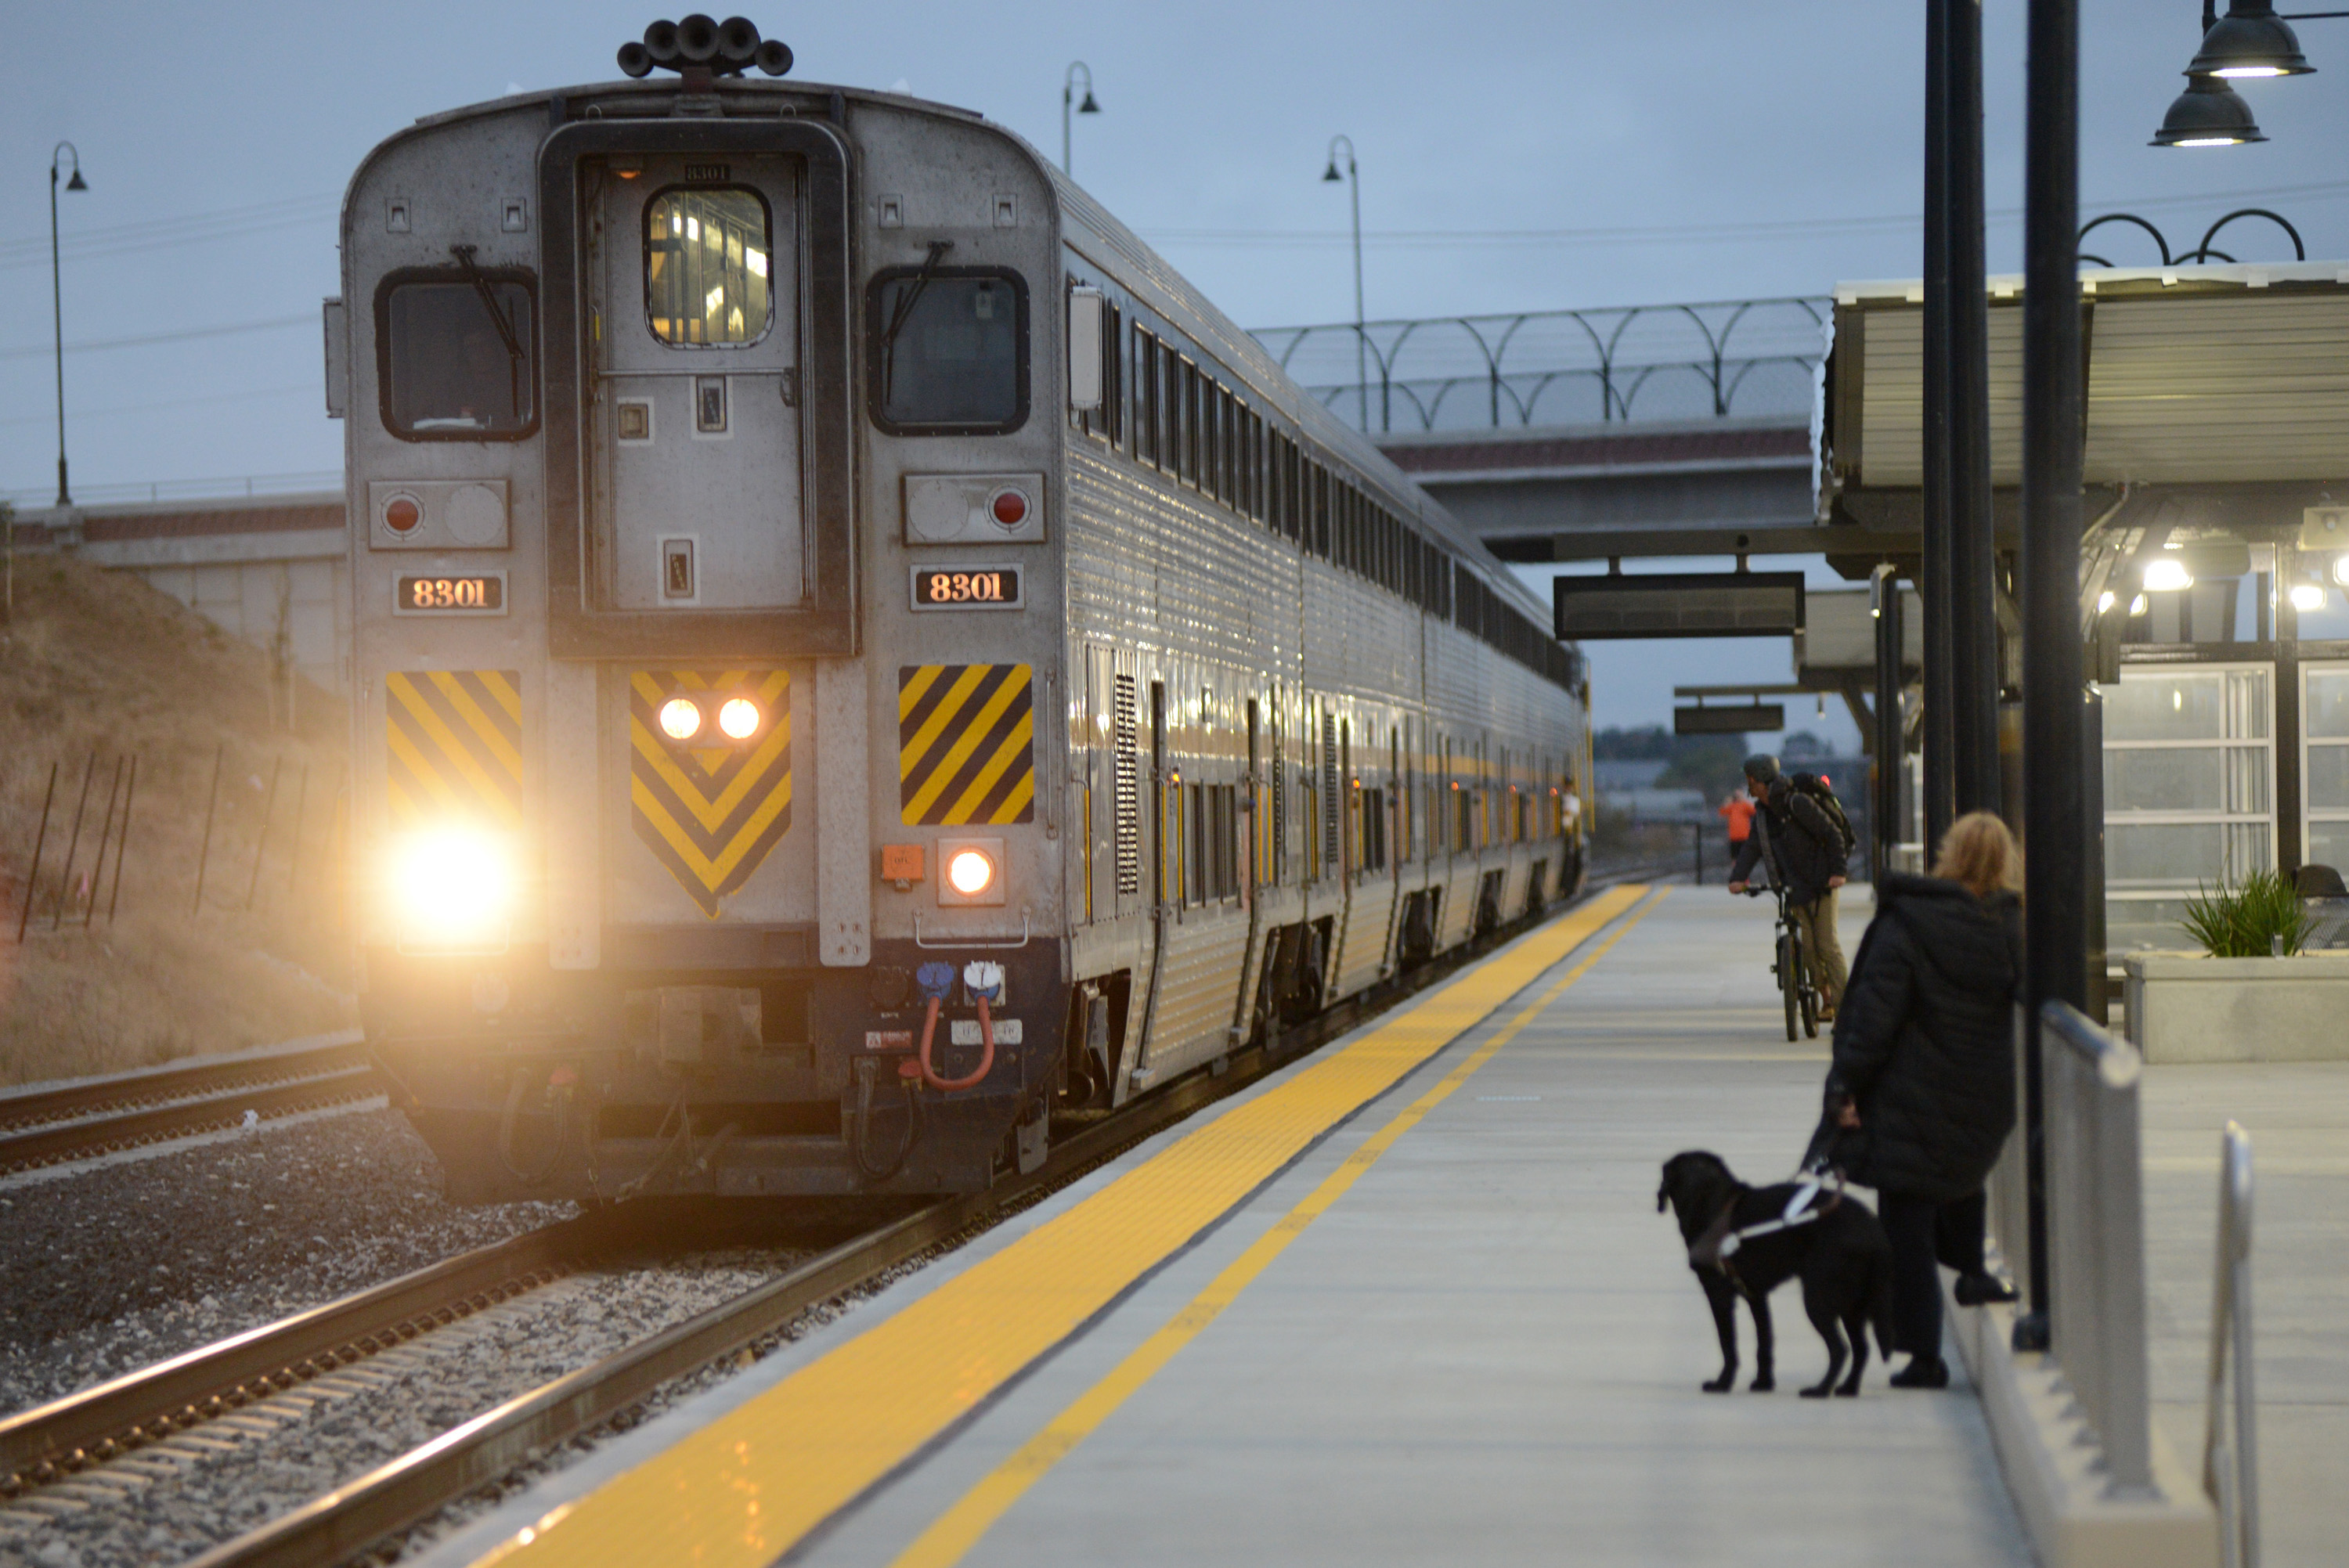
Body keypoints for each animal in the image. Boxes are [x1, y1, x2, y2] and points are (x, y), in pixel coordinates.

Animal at [1663, 1150, 1898, 1399]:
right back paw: (1848, 1388)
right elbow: (1764, 1342)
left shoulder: (1719, 1294)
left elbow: (1728, 1345)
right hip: (1852, 1304)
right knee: (1861, 1348)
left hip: (1819, 1299)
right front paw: (1764, 1383)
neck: (1708, 1196)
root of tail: (1877, 1236)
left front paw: (1722, 1384)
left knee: (1839, 1349)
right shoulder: (1756, 1295)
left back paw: (1820, 1390)